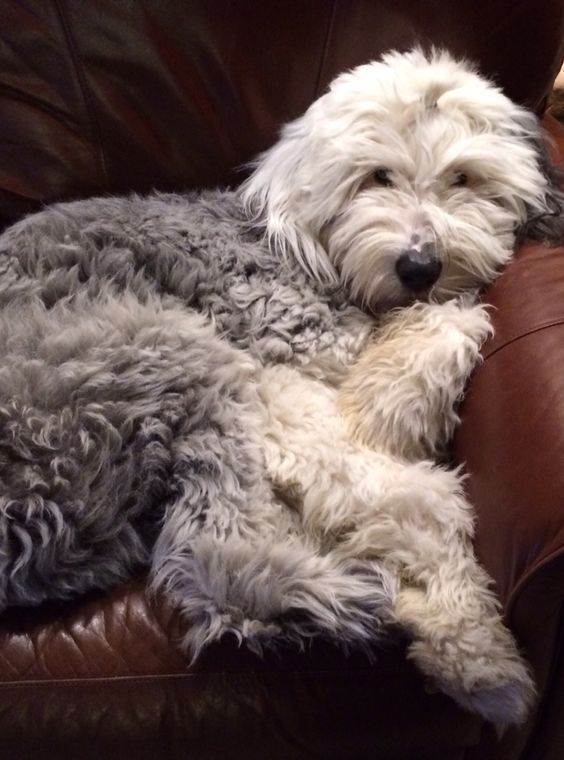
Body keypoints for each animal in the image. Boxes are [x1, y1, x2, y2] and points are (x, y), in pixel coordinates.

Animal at [0, 47, 560, 724]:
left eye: (464, 178)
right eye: (377, 176)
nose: (419, 266)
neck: (305, 248)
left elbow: (451, 317)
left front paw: (394, 404)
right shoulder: (281, 374)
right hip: (171, 349)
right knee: (225, 569)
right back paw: (458, 643)